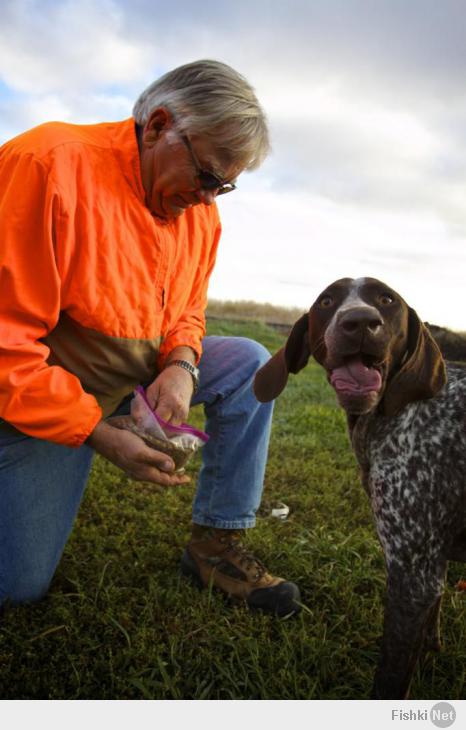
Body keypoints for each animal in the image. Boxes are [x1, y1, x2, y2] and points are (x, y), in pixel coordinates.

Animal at [255, 276, 466, 696]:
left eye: (387, 300)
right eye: (327, 301)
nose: (361, 323)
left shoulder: (412, 578)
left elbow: (389, 679)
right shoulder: (428, 569)